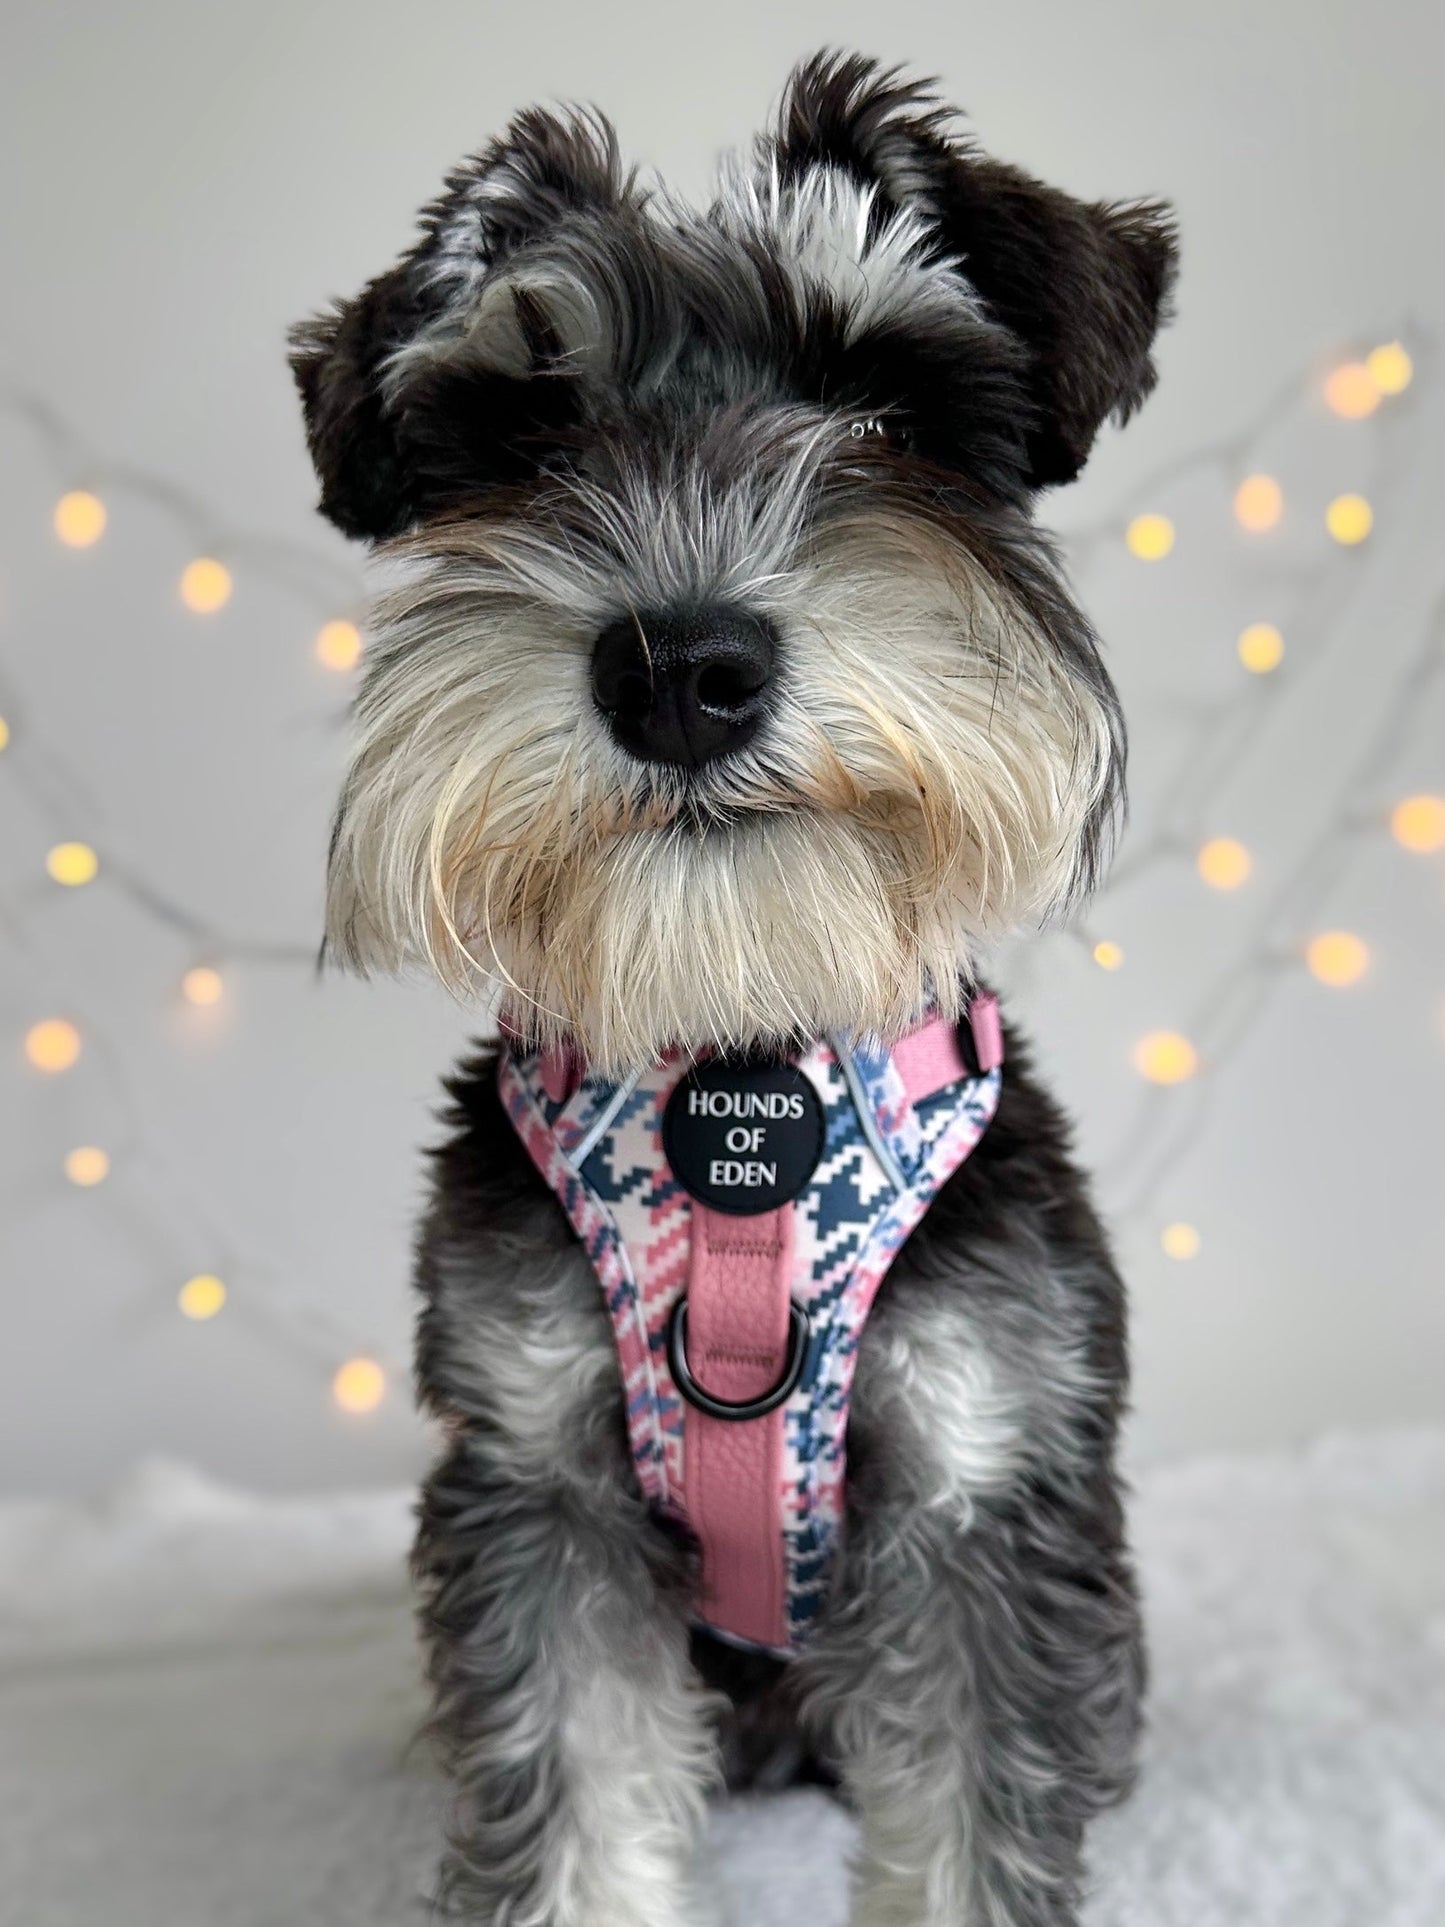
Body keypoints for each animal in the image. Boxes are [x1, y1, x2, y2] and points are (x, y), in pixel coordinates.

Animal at [290, 45, 1179, 1927]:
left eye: (887, 413)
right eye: (532, 435)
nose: (680, 668)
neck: (732, 1067)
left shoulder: (988, 1475)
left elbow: (973, 1817)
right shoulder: (533, 1482)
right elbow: (570, 1799)